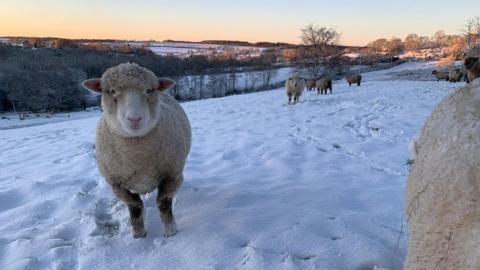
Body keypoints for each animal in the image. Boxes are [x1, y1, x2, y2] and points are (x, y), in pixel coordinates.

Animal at [81, 61, 191, 238]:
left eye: (149, 90)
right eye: (112, 90)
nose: (135, 119)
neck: (137, 155)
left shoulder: (172, 175)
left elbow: (163, 203)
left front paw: (170, 231)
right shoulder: (117, 184)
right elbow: (135, 206)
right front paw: (139, 234)